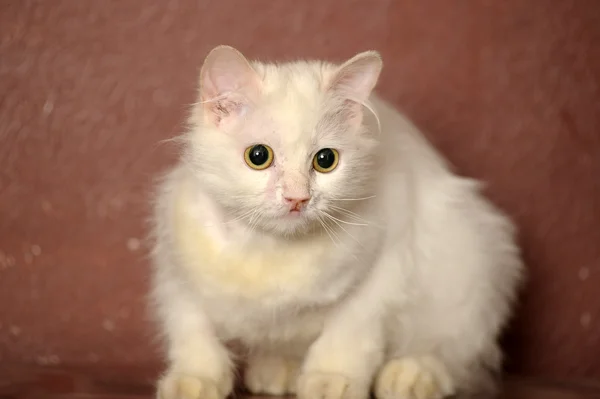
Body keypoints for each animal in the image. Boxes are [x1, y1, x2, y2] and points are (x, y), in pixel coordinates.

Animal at [148, 44, 524, 399]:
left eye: (325, 160)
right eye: (258, 156)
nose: (297, 198)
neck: (271, 249)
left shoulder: (382, 270)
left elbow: (346, 337)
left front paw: (331, 381)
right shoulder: (178, 278)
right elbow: (195, 337)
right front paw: (193, 381)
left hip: (471, 266)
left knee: (450, 355)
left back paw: (410, 376)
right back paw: (277, 370)